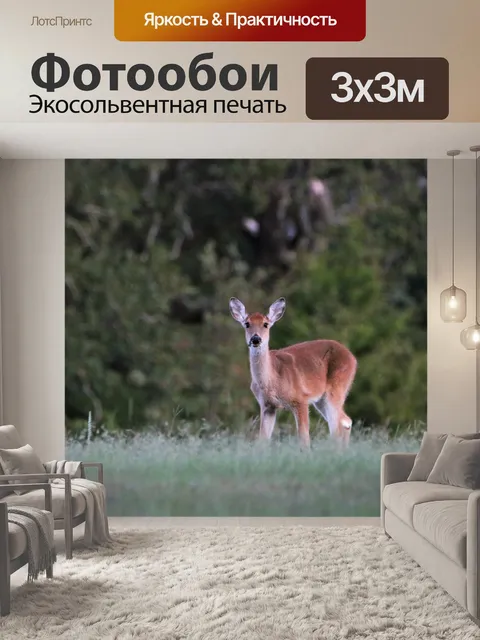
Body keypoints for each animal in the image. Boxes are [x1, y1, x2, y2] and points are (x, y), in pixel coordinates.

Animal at [229, 297, 357, 448]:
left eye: (266, 324)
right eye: (247, 324)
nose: (255, 339)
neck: (272, 381)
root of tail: (352, 358)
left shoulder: (301, 399)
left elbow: (304, 440)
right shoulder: (267, 405)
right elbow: (262, 440)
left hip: (337, 388)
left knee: (337, 426)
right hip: (322, 399)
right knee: (345, 421)